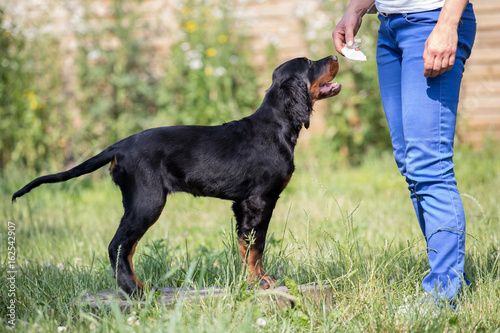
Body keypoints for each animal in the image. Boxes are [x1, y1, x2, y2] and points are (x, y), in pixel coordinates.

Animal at [11, 55, 342, 296]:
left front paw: (255, 280)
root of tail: (120, 145)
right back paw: (133, 291)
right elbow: (255, 245)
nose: (334, 56)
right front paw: (261, 282)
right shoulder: (258, 200)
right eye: (310, 62)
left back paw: (141, 286)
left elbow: (247, 245)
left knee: (127, 248)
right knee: (118, 245)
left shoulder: (243, 204)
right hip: (148, 201)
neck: (276, 125)